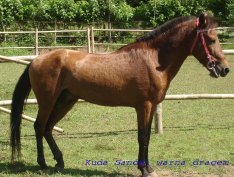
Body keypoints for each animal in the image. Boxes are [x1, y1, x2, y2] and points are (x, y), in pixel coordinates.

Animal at [10, 12, 229, 177]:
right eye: (211, 40)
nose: (224, 69)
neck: (153, 59)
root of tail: (37, 60)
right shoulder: (144, 106)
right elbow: (143, 136)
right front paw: (144, 169)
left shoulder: (150, 106)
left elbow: (147, 136)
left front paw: (148, 167)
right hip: (48, 102)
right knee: (39, 127)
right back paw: (43, 163)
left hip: (65, 101)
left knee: (48, 128)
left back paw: (59, 162)